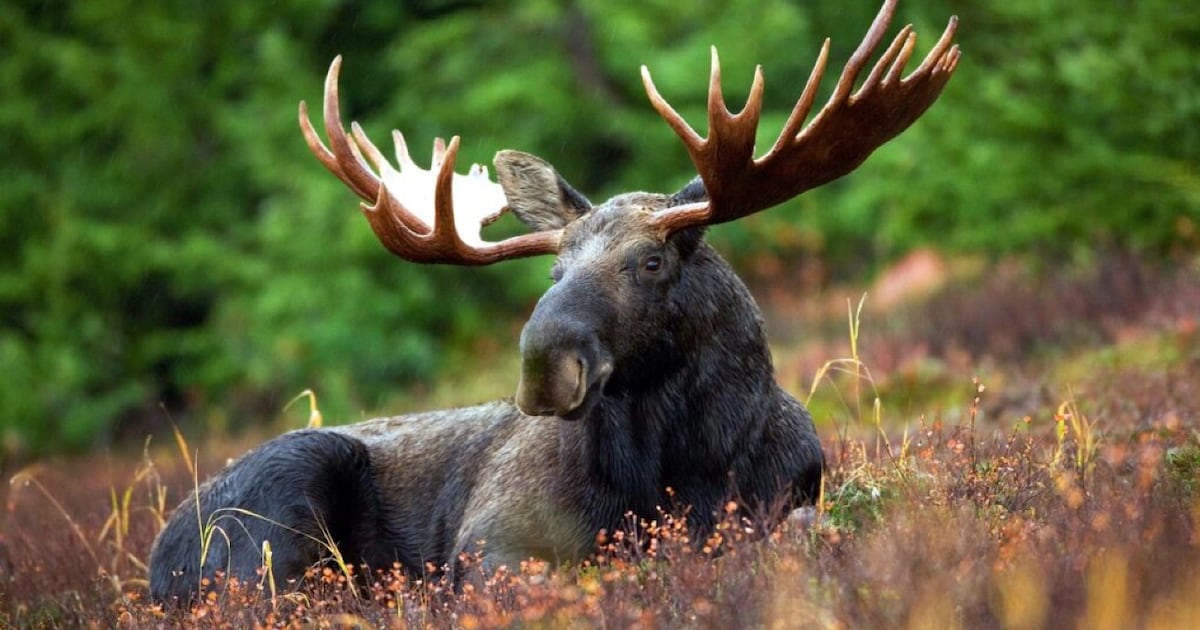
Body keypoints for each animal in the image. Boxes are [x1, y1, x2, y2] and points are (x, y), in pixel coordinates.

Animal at [149, 0, 959, 605]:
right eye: (553, 272)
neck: (684, 468)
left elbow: (805, 531)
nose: (545, 365)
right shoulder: (492, 541)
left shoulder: (791, 498)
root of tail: (158, 560)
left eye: (652, 260)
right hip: (282, 502)